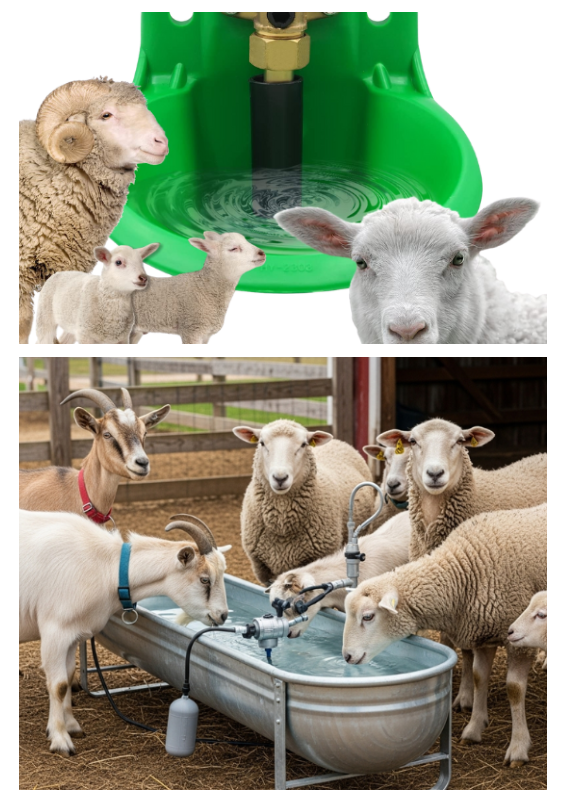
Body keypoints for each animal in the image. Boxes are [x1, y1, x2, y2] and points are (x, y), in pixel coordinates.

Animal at [19, 509, 231, 755]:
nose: (222, 616)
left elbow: (69, 676)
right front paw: (60, 740)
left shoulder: (71, 635)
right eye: (205, 579)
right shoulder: (55, 631)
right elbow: (59, 685)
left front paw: (72, 726)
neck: (107, 566)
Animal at [343, 503, 547, 767]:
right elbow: (479, 677)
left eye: (367, 616)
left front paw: (518, 747)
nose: (347, 656)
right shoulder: (484, 632)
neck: (464, 570)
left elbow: (514, 688)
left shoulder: (518, 639)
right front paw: (474, 728)